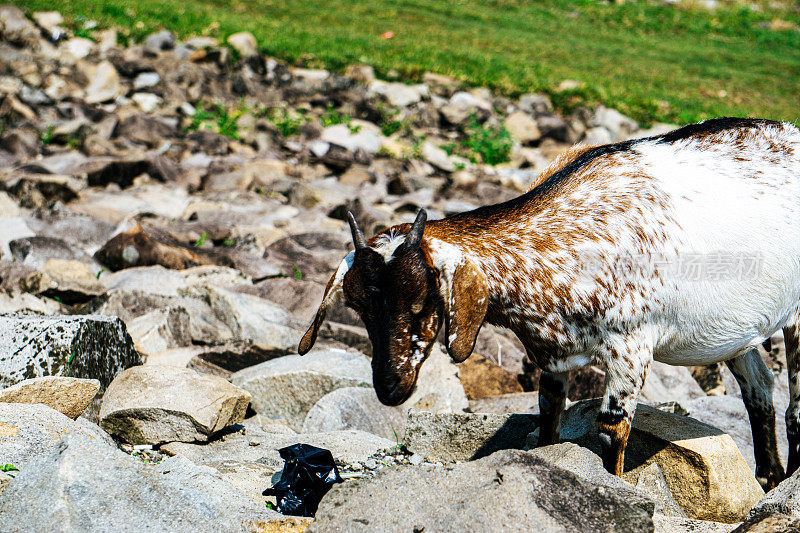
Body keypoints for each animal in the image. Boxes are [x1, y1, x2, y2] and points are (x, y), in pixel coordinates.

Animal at [298, 117, 800, 490]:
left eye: (423, 299)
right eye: (357, 307)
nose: (390, 387)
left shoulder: (631, 345)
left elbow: (612, 430)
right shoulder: (552, 354)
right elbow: (548, 418)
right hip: (736, 330)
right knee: (760, 387)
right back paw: (769, 477)